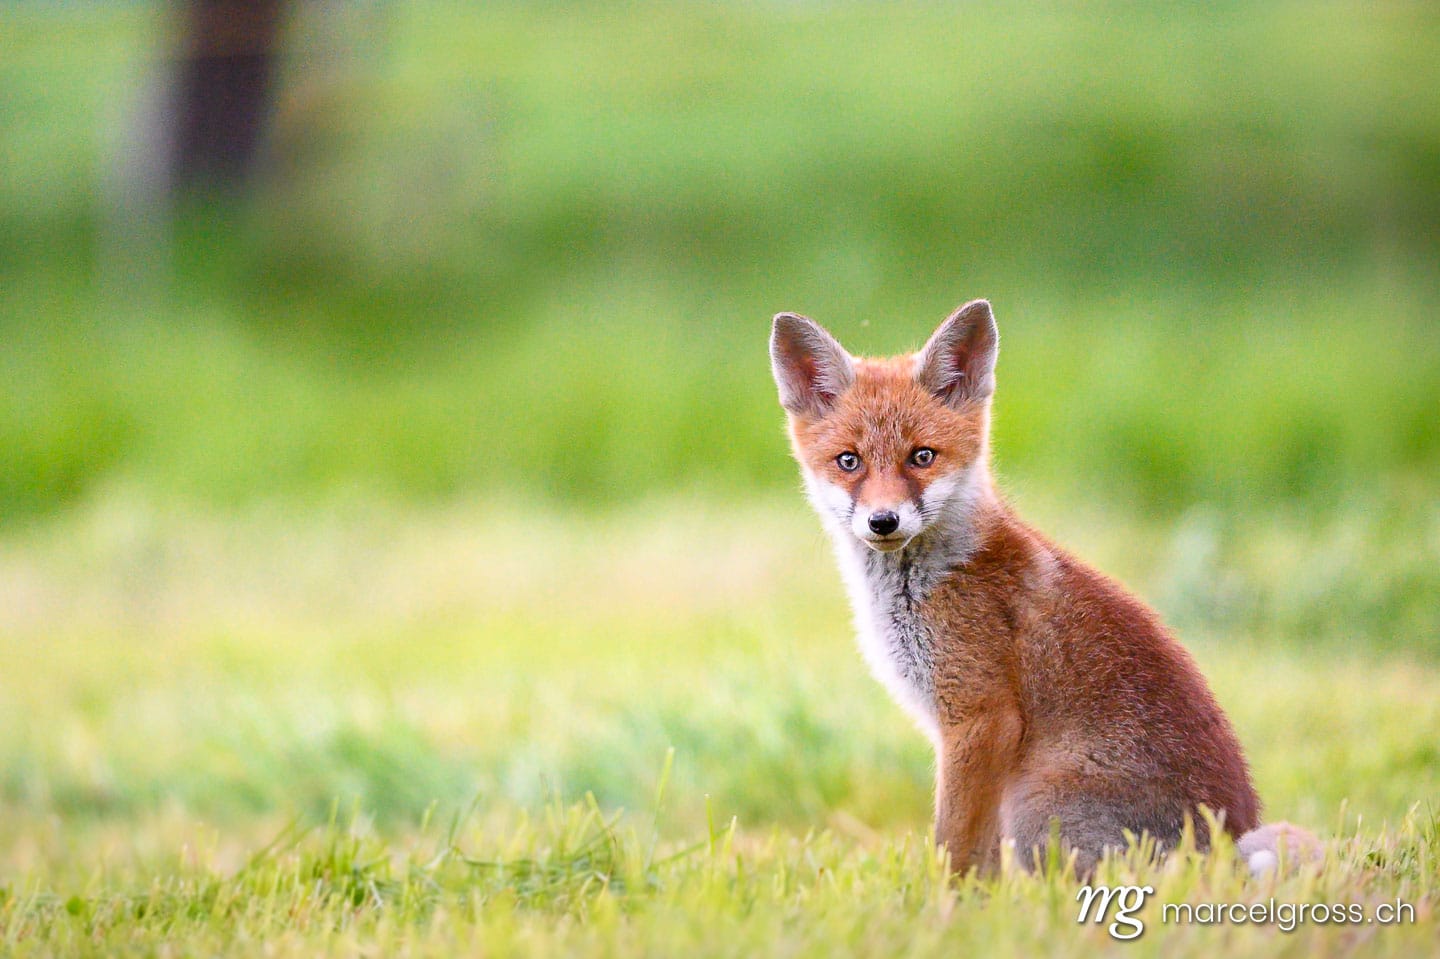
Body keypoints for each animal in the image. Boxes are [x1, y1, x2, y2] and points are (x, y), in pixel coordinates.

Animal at [769, 299, 1321, 877]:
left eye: (922, 456)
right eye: (849, 461)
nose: (883, 521)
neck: (923, 583)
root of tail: (1224, 848)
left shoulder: (981, 720)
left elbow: (957, 849)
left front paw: (946, 903)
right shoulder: (973, 738)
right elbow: (981, 859)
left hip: (1035, 808)